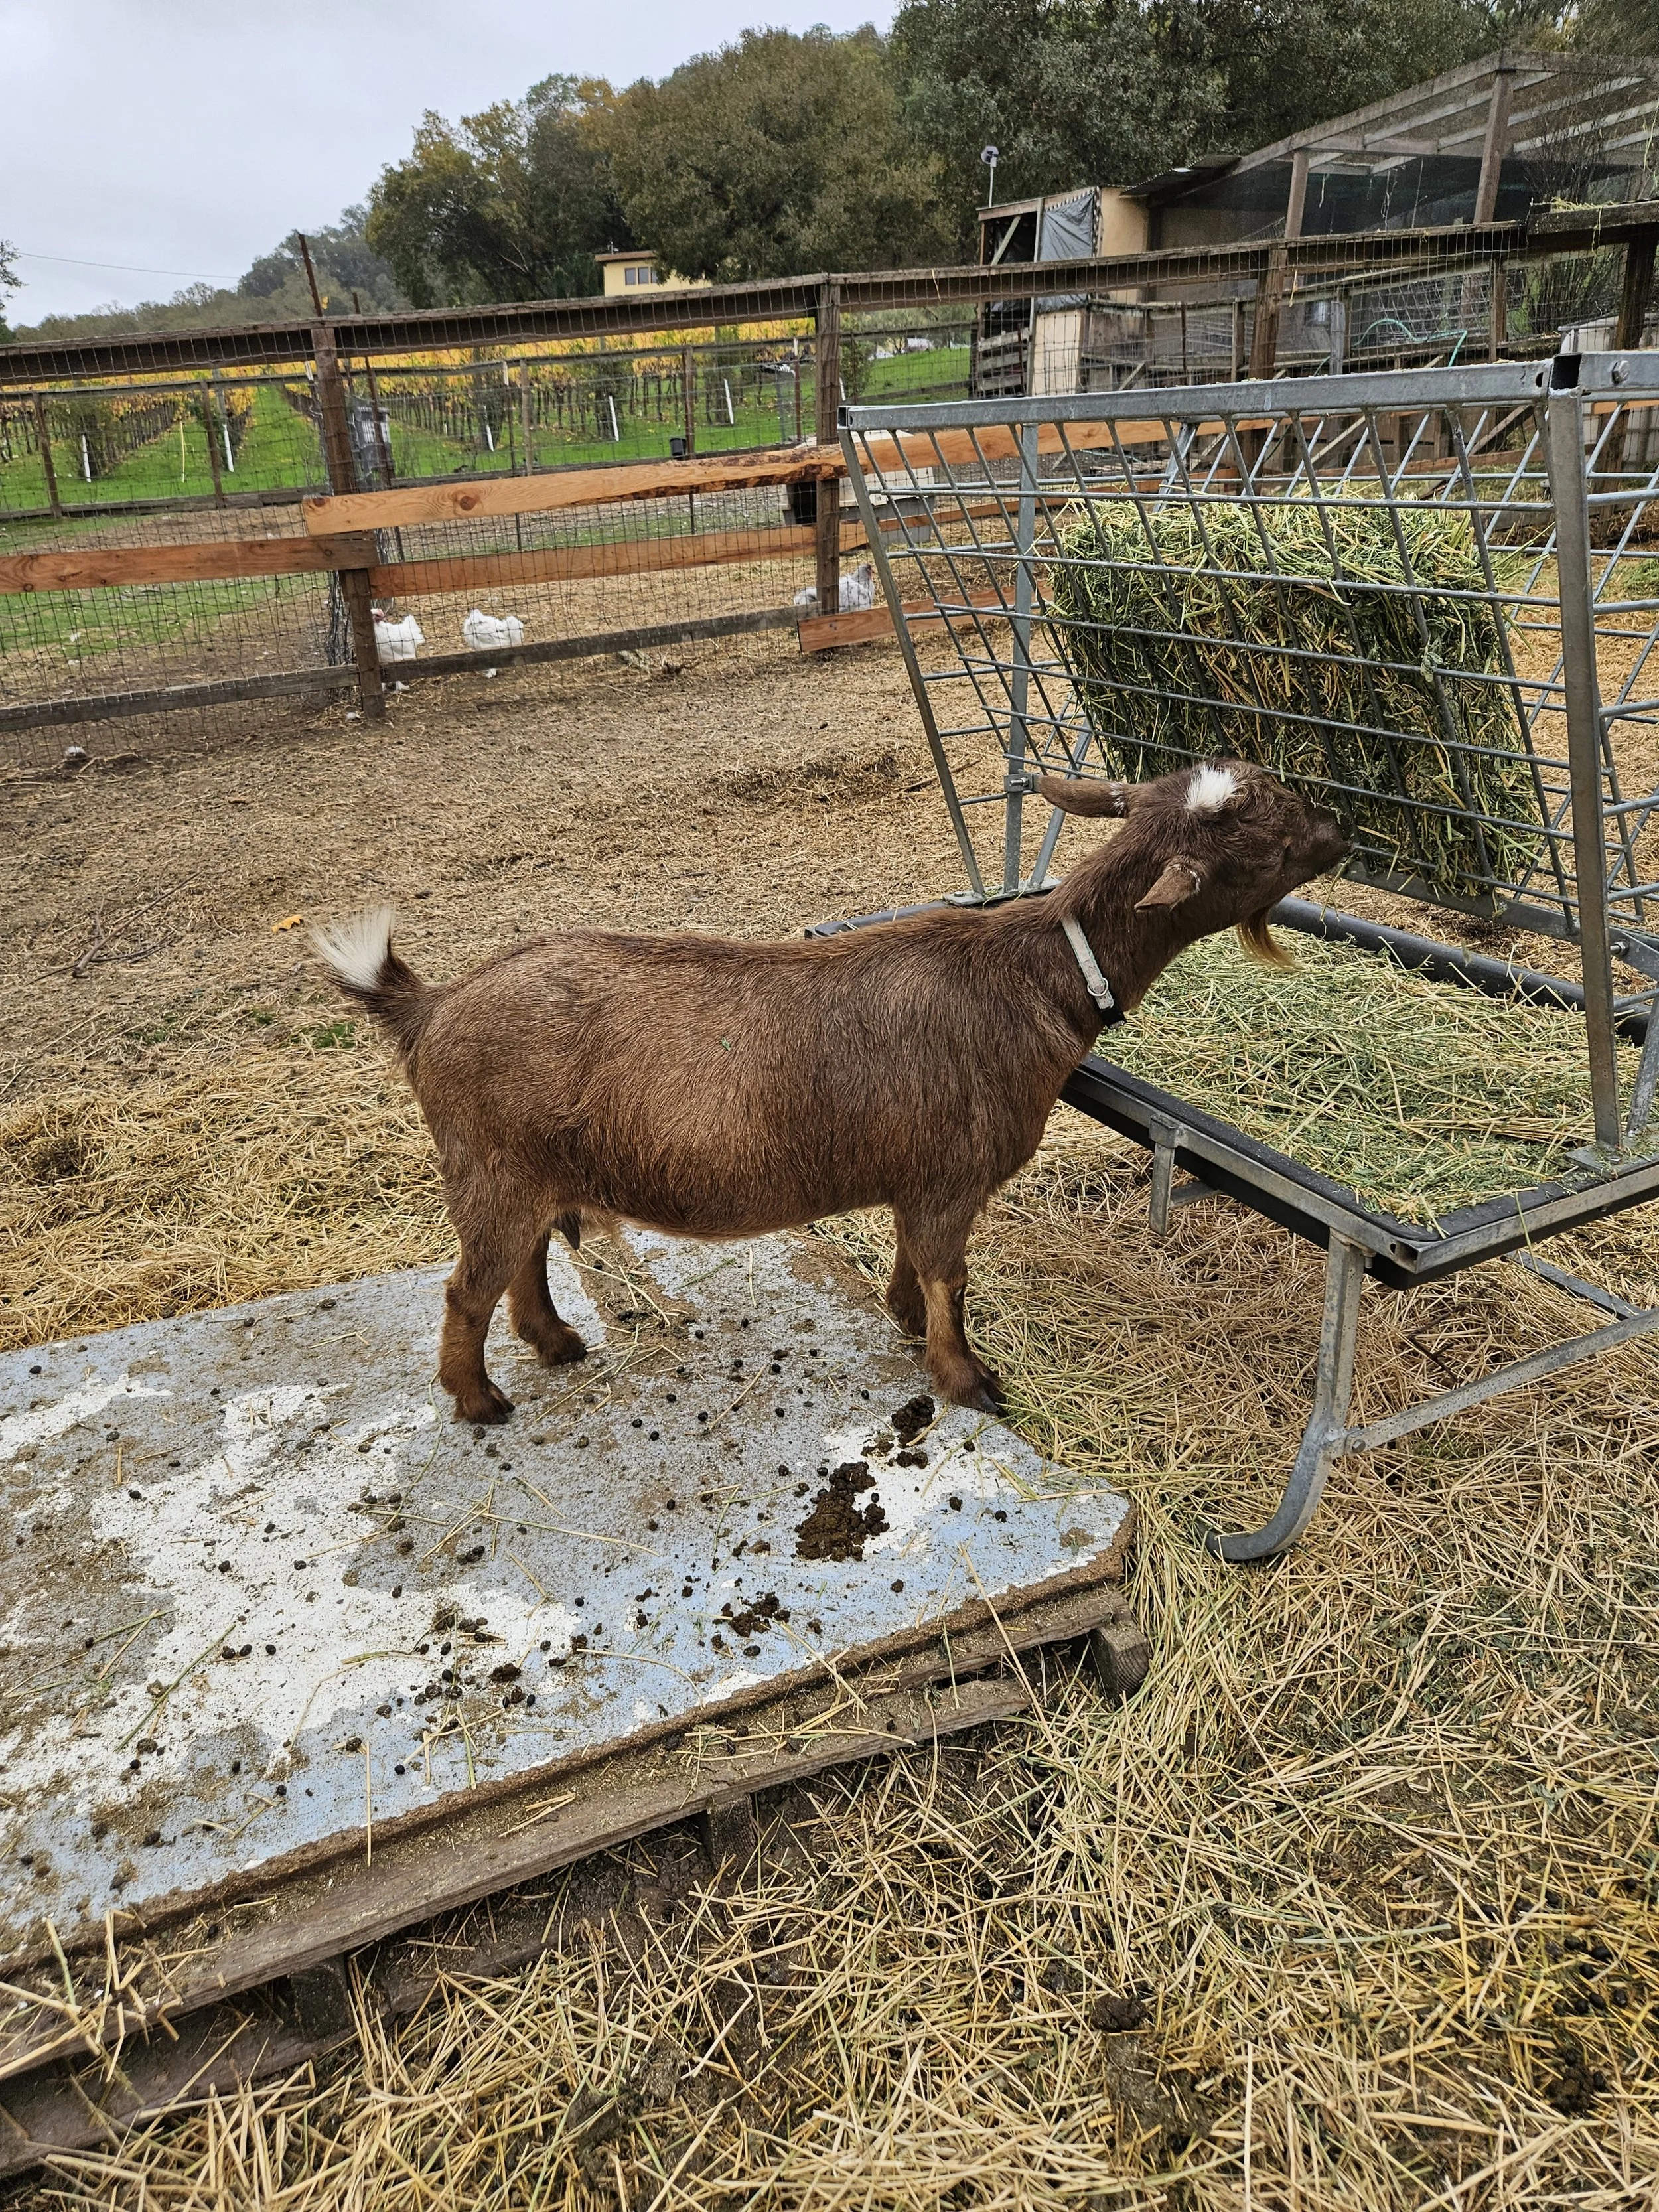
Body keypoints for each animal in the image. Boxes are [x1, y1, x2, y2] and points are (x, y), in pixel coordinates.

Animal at [315, 759, 1346, 1423]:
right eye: (1266, 841)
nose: (1340, 833)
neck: (1039, 971)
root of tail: (431, 1006)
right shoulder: (952, 1175)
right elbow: (950, 1275)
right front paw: (969, 1380)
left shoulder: (918, 1177)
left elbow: (915, 1264)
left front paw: (904, 1322)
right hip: (490, 1167)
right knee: (466, 1288)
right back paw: (481, 1401)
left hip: (529, 1169)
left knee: (522, 1262)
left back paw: (557, 1344)